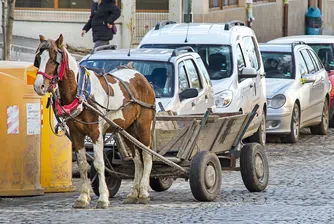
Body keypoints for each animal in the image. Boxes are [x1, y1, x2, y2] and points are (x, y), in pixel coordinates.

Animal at [33, 34, 156, 209]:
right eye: (38, 58)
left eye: (53, 59)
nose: (39, 86)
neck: (82, 91)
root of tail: (140, 76)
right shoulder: (76, 134)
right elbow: (83, 164)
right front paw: (83, 198)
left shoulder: (96, 133)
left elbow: (98, 164)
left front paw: (103, 198)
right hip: (128, 129)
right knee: (137, 160)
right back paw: (134, 194)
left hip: (143, 126)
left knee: (146, 156)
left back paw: (144, 192)